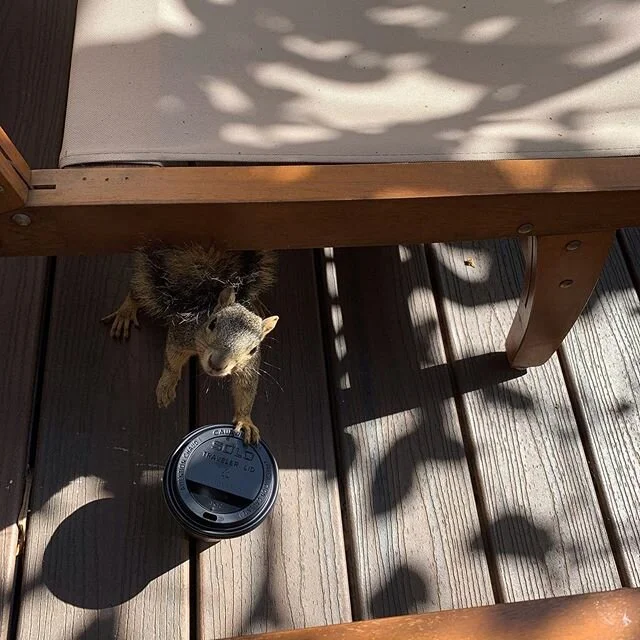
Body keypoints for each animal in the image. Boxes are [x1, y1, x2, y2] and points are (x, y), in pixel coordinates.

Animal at [102, 244, 278, 443]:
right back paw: (125, 312)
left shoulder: (249, 367)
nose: (216, 364)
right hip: (148, 282)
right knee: (137, 291)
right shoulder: (182, 334)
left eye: (253, 349)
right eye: (212, 323)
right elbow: (172, 360)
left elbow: (246, 389)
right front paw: (166, 385)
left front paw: (245, 421)